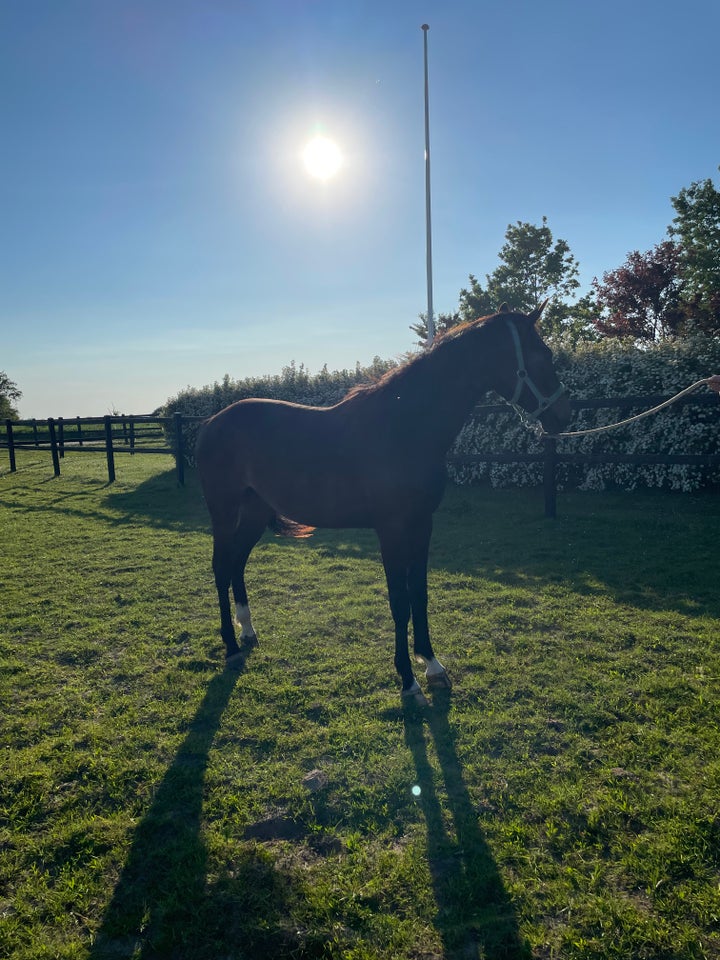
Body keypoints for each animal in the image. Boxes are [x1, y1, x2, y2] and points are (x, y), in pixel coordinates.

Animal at [194, 306, 572, 704]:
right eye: (542, 355)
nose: (564, 414)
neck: (403, 426)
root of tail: (211, 422)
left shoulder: (422, 524)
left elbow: (419, 594)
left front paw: (433, 666)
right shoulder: (390, 529)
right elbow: (399, 602)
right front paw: (409, 682)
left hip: (254, 512)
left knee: (237, 564)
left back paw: (248, 631)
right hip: (223, 512)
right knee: (221, 567)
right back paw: (231, 647)